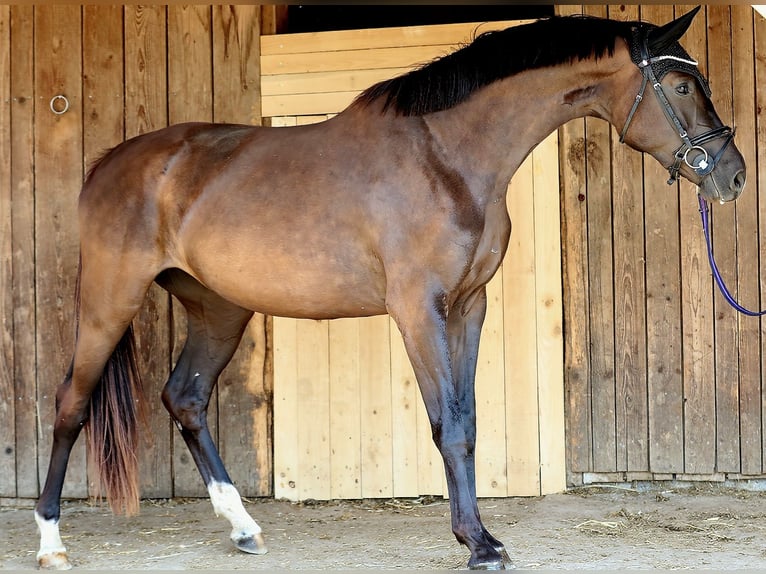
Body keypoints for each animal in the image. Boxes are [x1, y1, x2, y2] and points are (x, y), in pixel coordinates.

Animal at [35, 8, 745, 570]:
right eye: (682, 84)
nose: (732, 175)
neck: (446, 158)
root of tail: (110, 164)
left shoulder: (468, 307)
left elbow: (469, 420)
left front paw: (481, 537)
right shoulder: (418, 309)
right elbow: (447, 425)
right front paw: (479, 546)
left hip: (219, 308)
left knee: (184, 397)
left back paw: (243, 528)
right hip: (110, 299)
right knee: (71, 403)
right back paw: (50, 543)